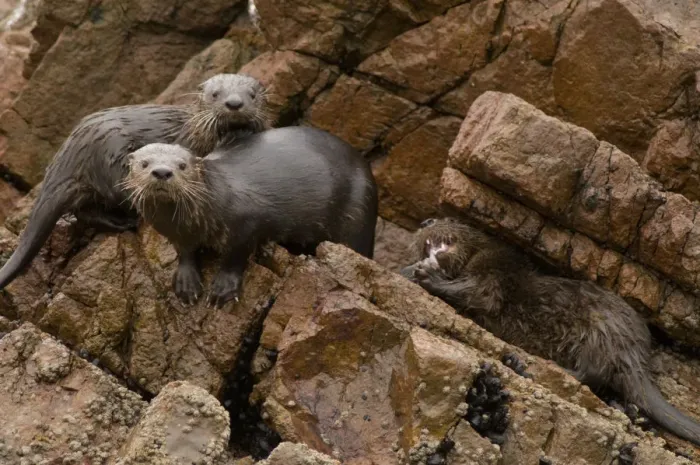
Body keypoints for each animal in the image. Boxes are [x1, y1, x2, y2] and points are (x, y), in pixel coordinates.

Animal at [0, 73, 269, 291]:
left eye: (252, 94)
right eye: (215, 94)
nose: (234, 103)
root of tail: (70, 152)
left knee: (84, 209)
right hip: (111, 155)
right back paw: (126, 220)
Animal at [123, 127, 378, 308]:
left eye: (182, 165)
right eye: (144, 163)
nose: (162, 171)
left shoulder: (247, 222)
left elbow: (236, 255)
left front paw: (224, 288)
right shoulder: (176, 234)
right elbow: (184, 252)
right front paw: (187, 283)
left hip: (358, 216)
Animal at [401, 217, 700, 447]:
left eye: (449, 218)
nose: (426, 223)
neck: (481, 255)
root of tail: (636, 349)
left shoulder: (495, 271)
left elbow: (480, 294)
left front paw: (429, 277)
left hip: (599, 328)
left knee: (595, 372)